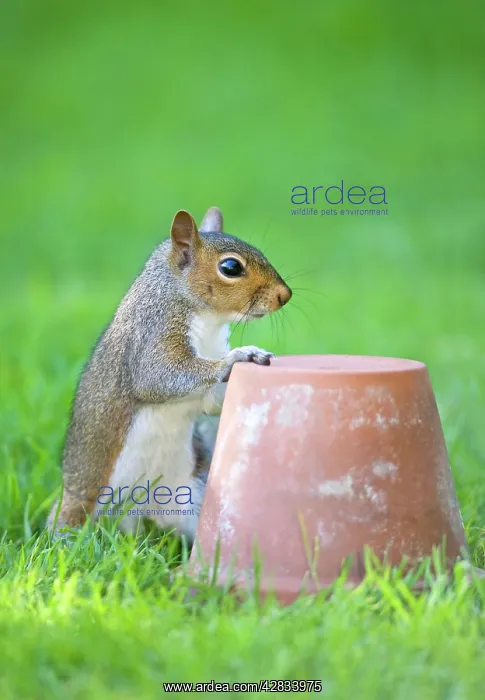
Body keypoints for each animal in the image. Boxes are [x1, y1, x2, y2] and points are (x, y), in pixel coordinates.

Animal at [48, 206, 292, 543]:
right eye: (230, 267)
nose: (285, 295)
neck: (205, 317)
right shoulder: (151, 336)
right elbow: (158, 376)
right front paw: (236, 358)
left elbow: (210, 402)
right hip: (77, 510)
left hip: (191, 499)